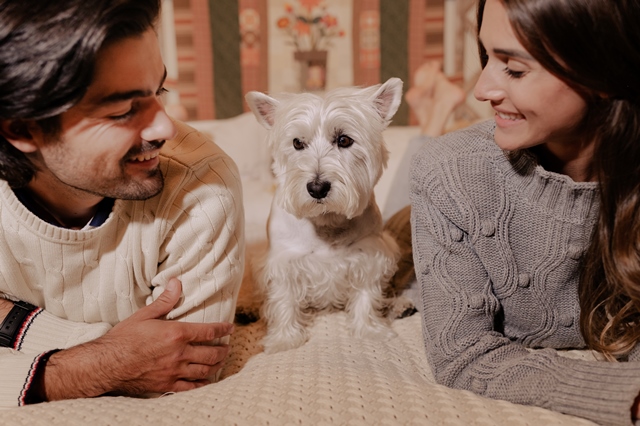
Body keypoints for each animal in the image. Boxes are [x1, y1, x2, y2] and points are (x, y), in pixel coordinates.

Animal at [242, 78, 408, 354]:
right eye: (298, 143)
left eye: (344, 139)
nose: (317, 188)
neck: (326, 221)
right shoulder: (283, 261)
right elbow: (283, 298)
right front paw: (284, 339)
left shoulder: (371, 253)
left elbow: (367, 293)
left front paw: (369, 330)